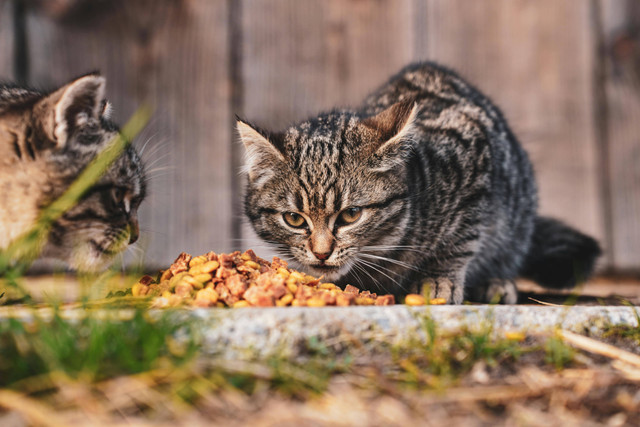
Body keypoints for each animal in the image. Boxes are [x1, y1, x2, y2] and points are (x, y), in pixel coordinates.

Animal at [238, 62, 604, 304]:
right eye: (294, 219)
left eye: (351, 215)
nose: (321, 253)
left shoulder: (475, 162)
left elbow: (459, 241)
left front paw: (438, 279)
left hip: (517, 214)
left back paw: (496, 282)